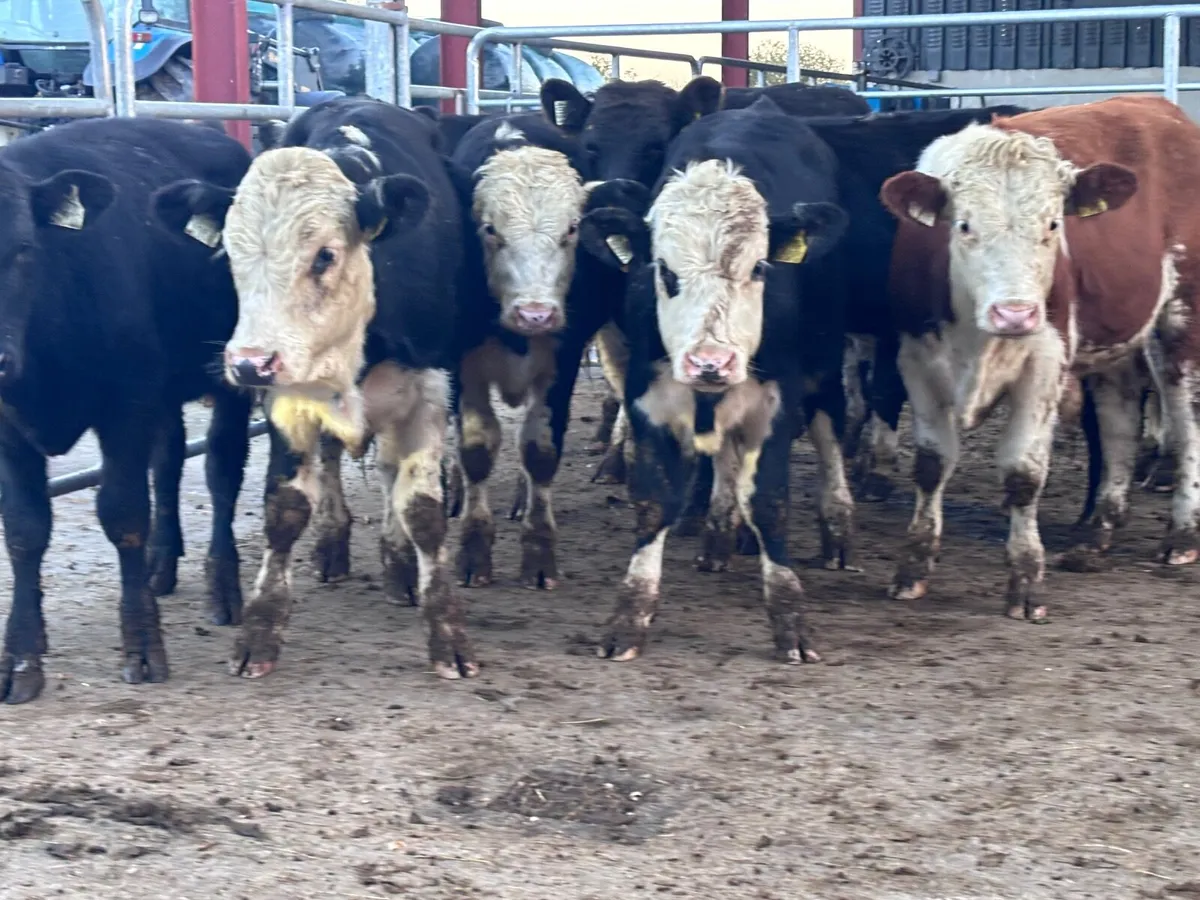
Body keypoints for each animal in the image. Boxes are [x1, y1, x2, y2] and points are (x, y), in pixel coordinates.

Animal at [0, 118, 253, 704]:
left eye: (22, 248)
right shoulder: (8, 427)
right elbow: (23, 529)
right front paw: (22, 654)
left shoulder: (125, 406)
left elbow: (123, 514)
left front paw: (141, 644)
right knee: (170, 461)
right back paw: (162, 562)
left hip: (229, 375)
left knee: (221, 471)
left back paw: (222, 586)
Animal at [153, 97, 479, 680]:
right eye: (229, 254)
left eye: (325, 255)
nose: (248, 364)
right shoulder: (289, 398)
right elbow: (284, 509)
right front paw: (259, 632)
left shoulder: (429, 392)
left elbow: (423, 511)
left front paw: (447, 634)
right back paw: (334, 543)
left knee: (392, 473)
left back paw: (397, 564)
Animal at [448, 112, 638, 590]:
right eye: (490, 228)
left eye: (571, 228)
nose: (536, 314)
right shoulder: (462, 365)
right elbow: (476, 448)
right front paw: (473, 553)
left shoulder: (562, 362)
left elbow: (539, 449)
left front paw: (539, 556)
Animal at [578, 97, 851, 661]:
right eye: (663, 270)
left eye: (760, 268)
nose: (711, 362)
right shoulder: (648, 397)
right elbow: (654, 501)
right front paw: (628, 618)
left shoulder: (775, 403)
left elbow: (770, 503)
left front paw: (790, 620)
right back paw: (720, 531)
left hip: (824, 360)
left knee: (830, 433)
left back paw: (837, 528)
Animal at [877, 95, 1200, 622]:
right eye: (964, 225)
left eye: (1053, 224)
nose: (1015, 313)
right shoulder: (916, 360)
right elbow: (930, 464)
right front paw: (913, 568)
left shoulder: (1046, 362)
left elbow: (1023, 474)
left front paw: (1026, 580)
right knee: (1118, 422)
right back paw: (1097, 535)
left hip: (1181, 317)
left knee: (1185, 421)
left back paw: (1182, 535)